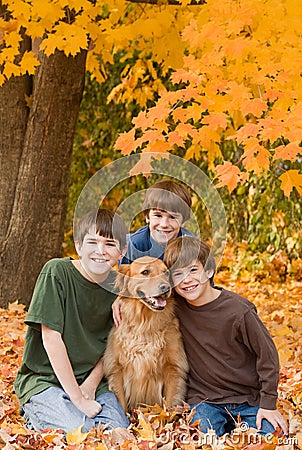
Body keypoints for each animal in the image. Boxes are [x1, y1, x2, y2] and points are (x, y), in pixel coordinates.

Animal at [104, 256, 189, 412]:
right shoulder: (116, 368)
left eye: (166, 273)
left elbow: (169, 409)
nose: (166, 288)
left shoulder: (174, 368)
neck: (145, 323)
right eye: (145, 272)